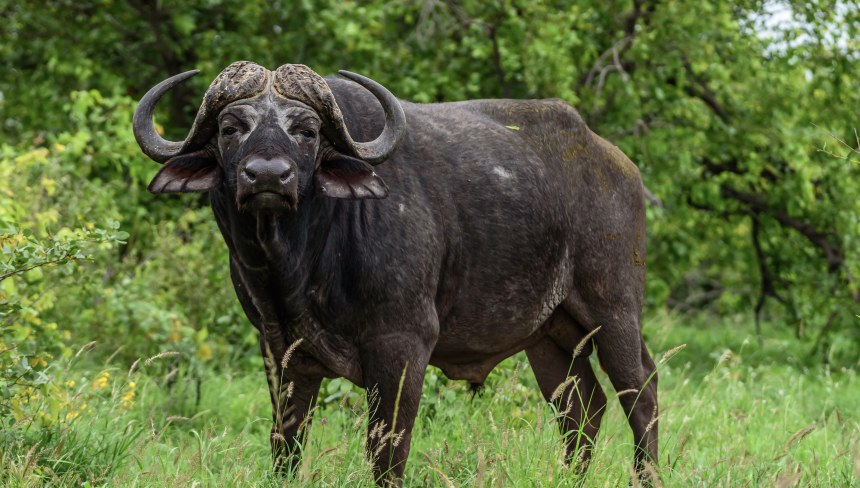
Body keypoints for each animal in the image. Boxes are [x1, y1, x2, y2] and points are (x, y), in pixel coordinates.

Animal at [133, 61, 658, 485]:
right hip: (548, 336)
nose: (267, 175)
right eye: (230, 128)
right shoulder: (279, 350)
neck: (301, 266)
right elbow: (286, 445)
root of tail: (619, 165)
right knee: (582, 408)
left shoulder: (403, 345)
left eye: (308, 131)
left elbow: (387, 451)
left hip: (614, 311)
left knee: (642, 393)